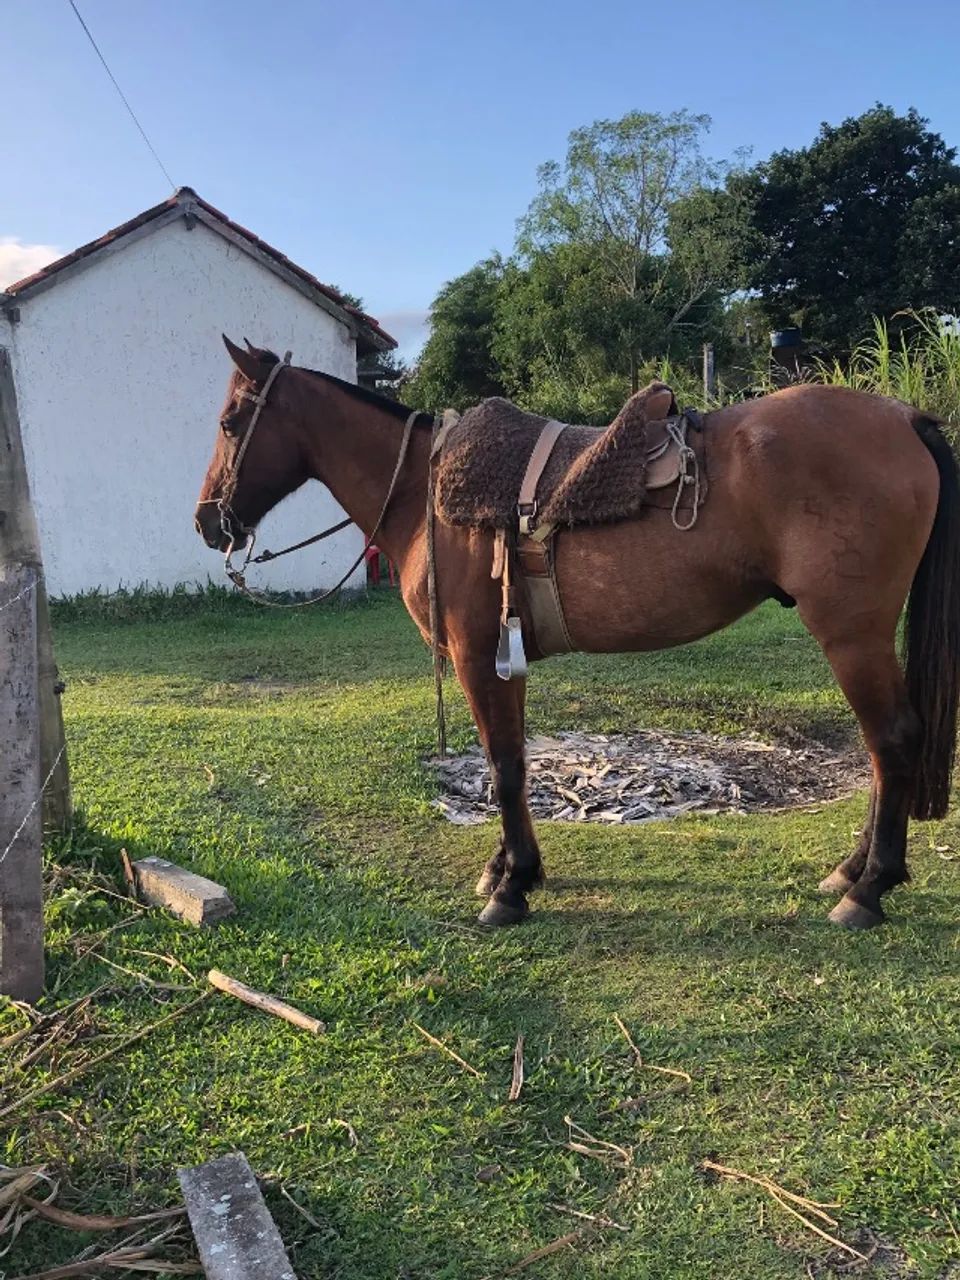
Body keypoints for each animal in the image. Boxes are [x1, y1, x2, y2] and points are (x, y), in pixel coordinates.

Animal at [195, 336, 960, 932]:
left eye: (232, 421)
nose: (208, 520)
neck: (426, 494)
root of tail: (904, 416)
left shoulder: (476, 657)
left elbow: (505, 768)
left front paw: (509, 891)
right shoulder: (502, 658)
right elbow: (508, 763)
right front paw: (510, 869)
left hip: (850, 633)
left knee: (892, 741)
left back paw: (869, 889)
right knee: (881, 749)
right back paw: (851, 871)